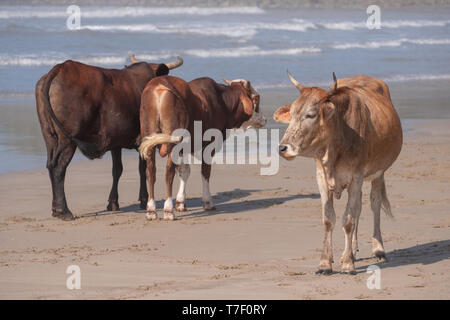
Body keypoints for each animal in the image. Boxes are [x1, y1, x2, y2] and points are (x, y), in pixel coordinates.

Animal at [34, 55, 183, 220]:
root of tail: (62, 67)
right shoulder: (142, 140)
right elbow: (142, 168)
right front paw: (144, 200)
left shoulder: (116, 141)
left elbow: (117, 170)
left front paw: (113, 202)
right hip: (67, 140)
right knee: (59, 167)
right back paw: (63, 210)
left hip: (49, 137)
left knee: (50, 165)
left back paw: (55, 209)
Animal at [137, 75, 264, 220]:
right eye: (256, 99)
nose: (264, 119)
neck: (222, 102)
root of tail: (159, 85)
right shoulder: (209, 145)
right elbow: (205, 172)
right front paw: (207, 202)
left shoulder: (184, 149)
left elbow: (184, 171)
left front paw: (180, 202)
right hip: (172, 141)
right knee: (169, 171)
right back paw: (168, 209)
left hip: (149, 137)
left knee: (150, 171)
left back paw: (151, 210)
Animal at [274, 72, 404, 276]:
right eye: (292, 114)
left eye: (310, 114)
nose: (283, 148)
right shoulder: (321, 177)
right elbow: (329, 219)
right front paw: (325, 263)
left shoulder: (356, 178)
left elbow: (348, 220)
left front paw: (348, 265)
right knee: (358, 208)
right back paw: (351, 251)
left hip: (378, 173)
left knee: (374, 204)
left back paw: (377, 249)